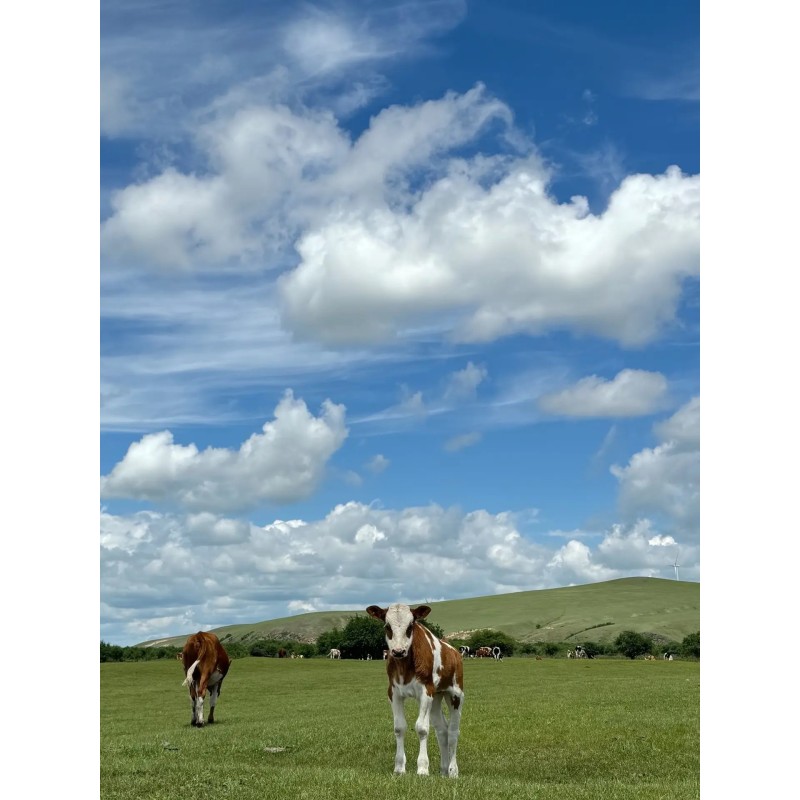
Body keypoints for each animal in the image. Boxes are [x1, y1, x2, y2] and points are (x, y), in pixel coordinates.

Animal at [366, 604, 464, 778]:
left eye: (410, 626)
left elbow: (422, 728)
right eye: (387, 626)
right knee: (442, 730)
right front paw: (399, 767)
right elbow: (399, 727)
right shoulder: (394, 693)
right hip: (436, 697)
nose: (398, 651)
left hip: (455, 694)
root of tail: (454, 652)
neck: (404, 667)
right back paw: (444, 769)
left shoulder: (426, 692)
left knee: (453, 732)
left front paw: (423, 768)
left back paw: (453, 770)